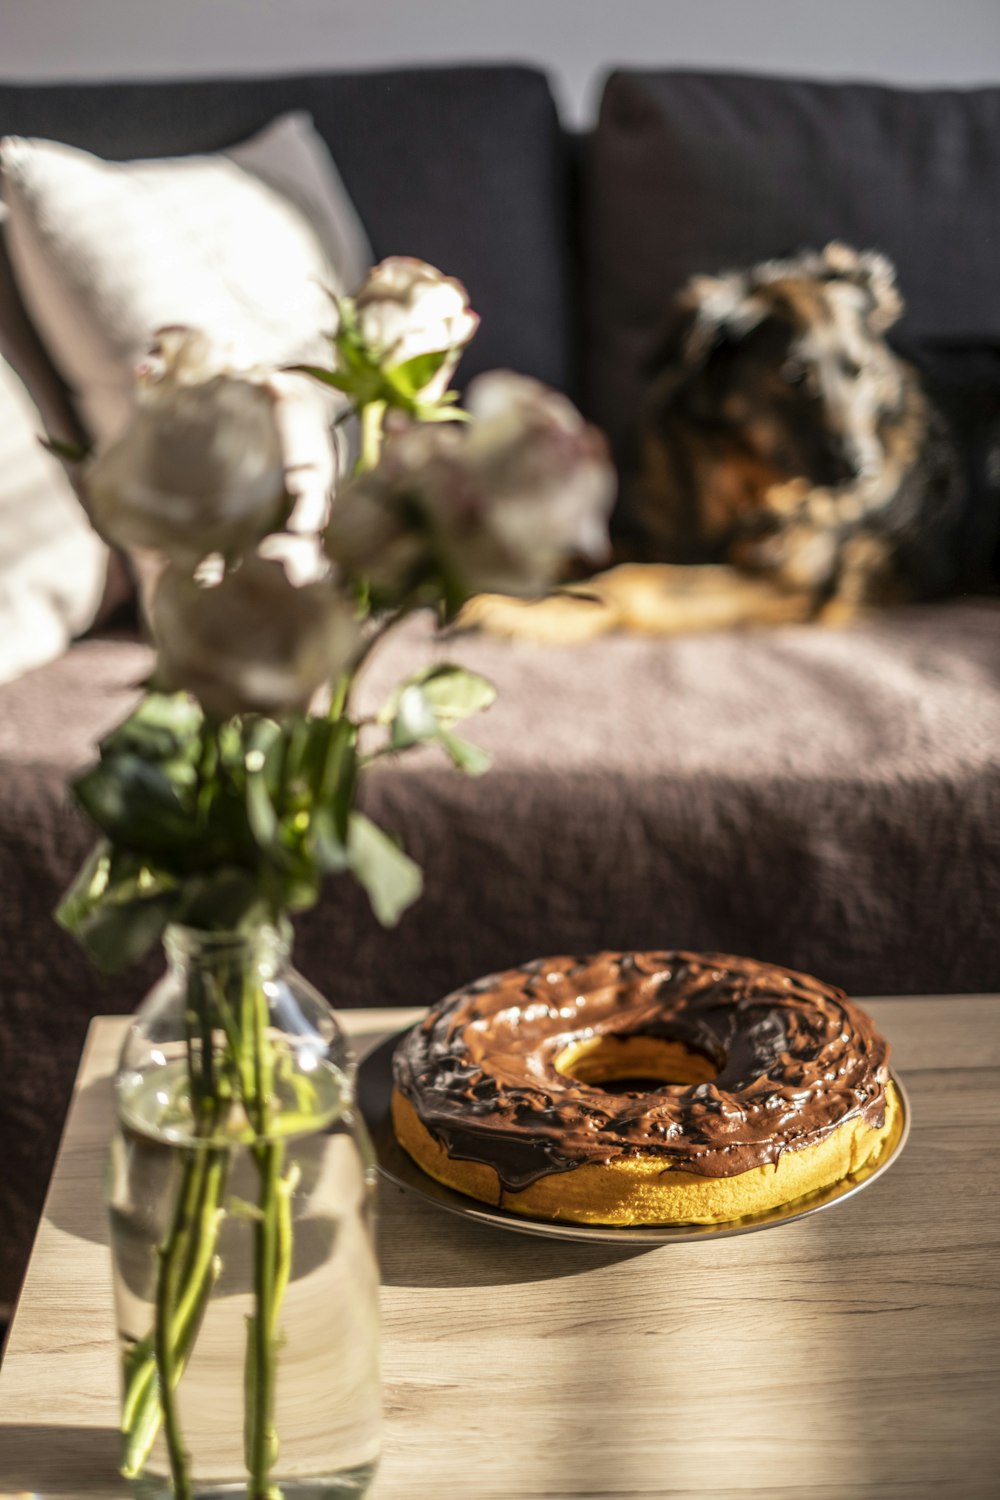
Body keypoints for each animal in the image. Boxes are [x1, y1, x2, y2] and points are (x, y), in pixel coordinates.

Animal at [464, 243, 959, 642]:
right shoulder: (677, 544)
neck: (741, 479)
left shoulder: (789, 584)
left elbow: (629, 578)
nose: (863, 472)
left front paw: (522, 610)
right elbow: (592, 553)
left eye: (860, 371)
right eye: (794, 375)